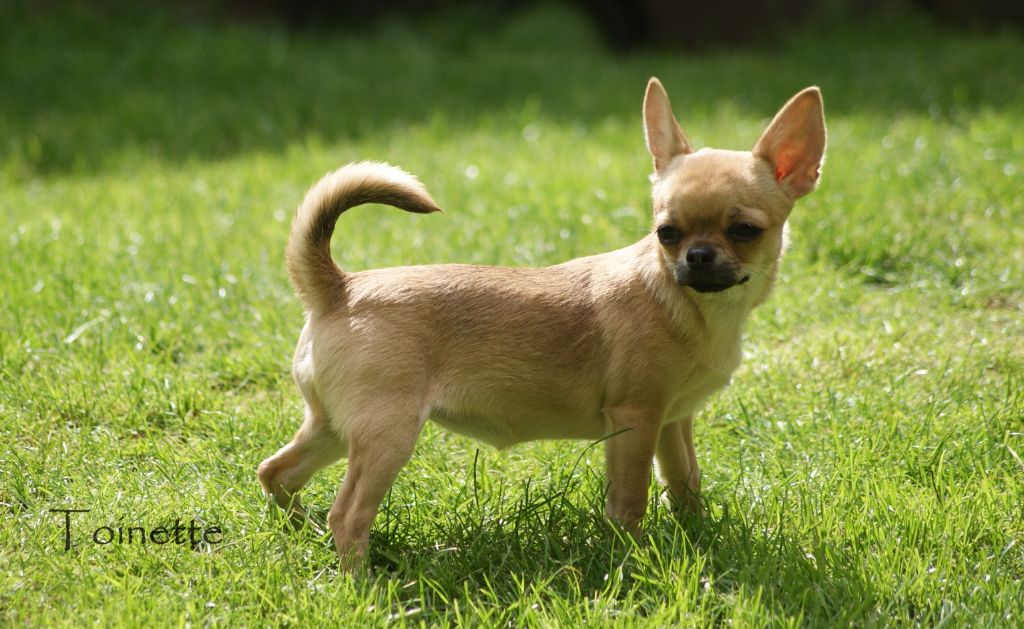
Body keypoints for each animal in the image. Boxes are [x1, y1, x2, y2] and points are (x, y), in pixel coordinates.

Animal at [256, 78, 823, 573]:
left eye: (744, 231)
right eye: (666, 233)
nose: (697, 256)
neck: (688, 304)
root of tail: (340, 287)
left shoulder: (672, 422)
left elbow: (686, 483)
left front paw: (698, 537)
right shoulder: (635, 420)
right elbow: (630, 501)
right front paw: (634, 558)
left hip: (333, 427)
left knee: (277, 472)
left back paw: (304, 534)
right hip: (387, 434)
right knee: (348, 514)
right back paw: (362, 583)